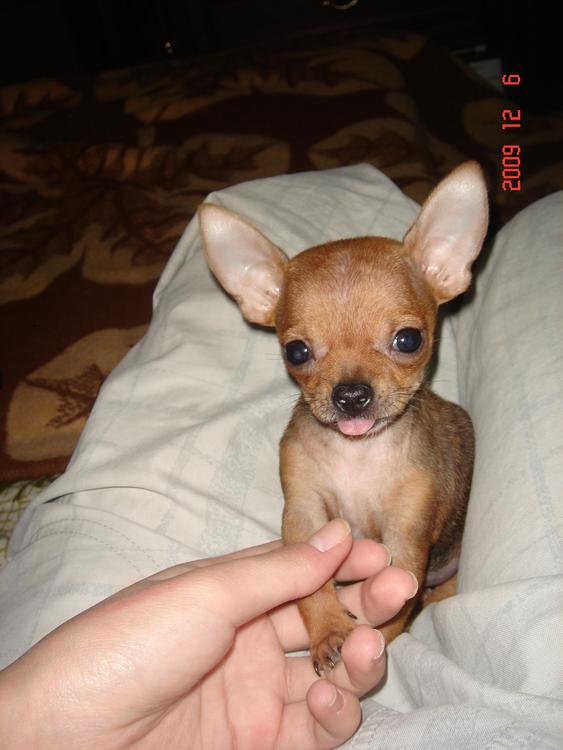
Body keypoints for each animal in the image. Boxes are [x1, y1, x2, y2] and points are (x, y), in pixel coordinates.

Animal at [198, 162, 489, 675]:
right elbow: (312, 584)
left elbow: (396, 605)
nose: (351, 395)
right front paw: (330, 630)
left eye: (409, 340)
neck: (358, 454)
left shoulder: (406, 534)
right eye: (296, 352)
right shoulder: (305, 513)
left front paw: (376, 642)